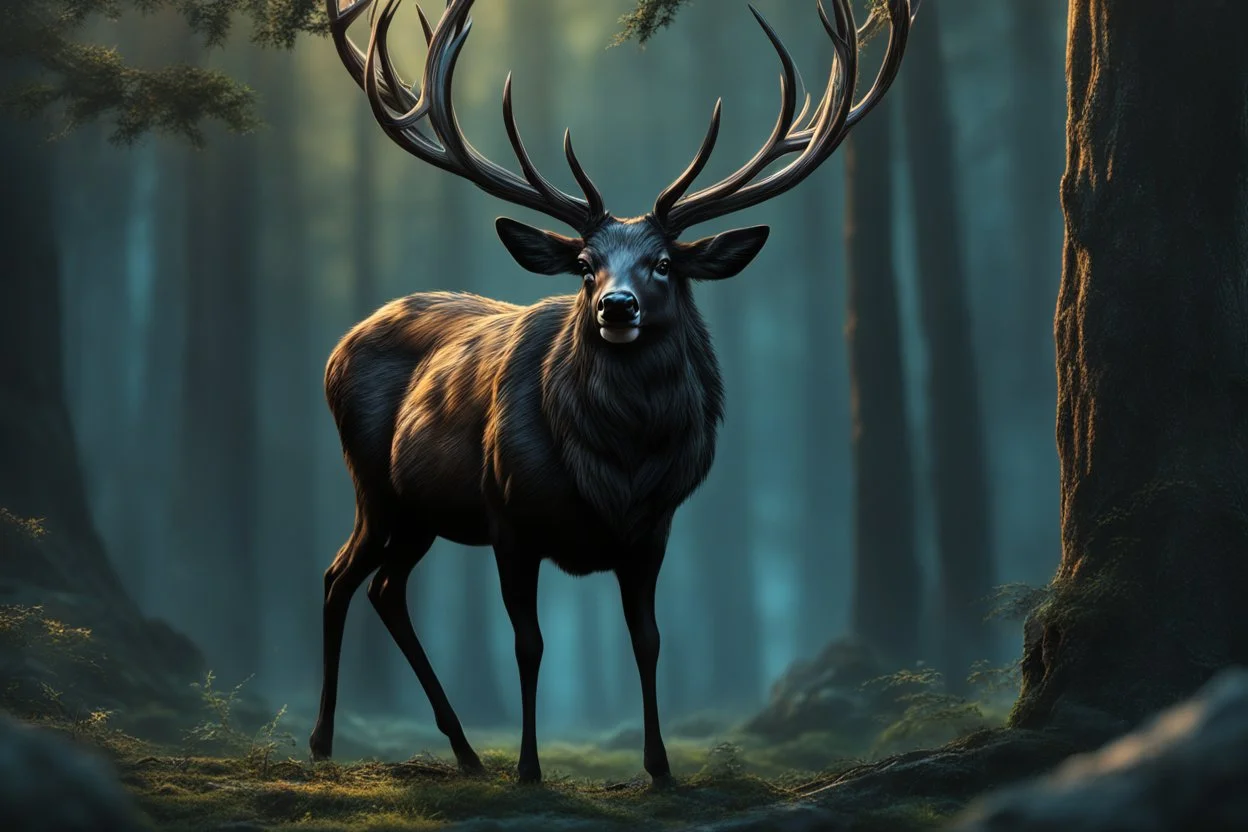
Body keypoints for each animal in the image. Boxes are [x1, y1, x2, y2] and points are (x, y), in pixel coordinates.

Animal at [313, 0, 915, 786]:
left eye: (663, 263)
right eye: (585, 264)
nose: (616, 306)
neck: (617, 467)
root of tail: (338, 348)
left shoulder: (654, 529)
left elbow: (648, 640)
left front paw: (660, 767)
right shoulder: (508, 515)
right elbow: (530, 644)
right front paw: (529, 768)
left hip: (420, 511)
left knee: (385, 588)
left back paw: (465, 751)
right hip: (374, 485)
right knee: (339, 577)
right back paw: (326, 741)